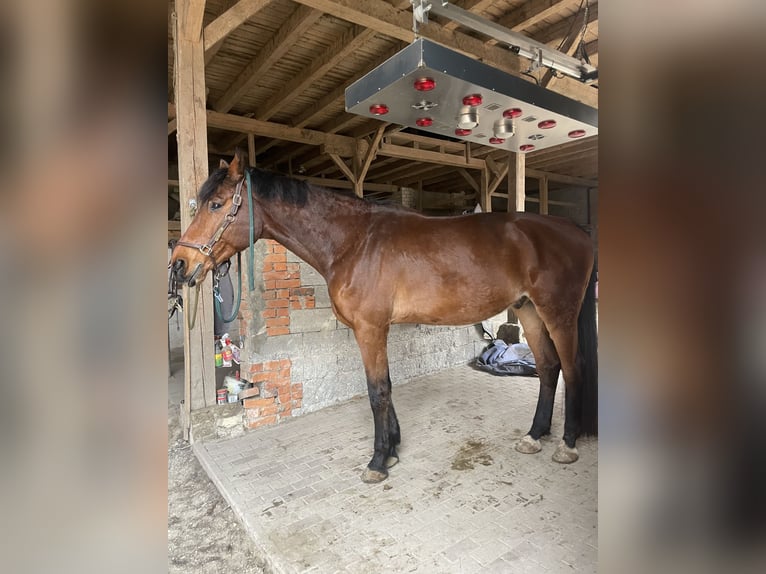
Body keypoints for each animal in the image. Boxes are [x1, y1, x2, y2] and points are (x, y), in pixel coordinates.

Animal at [170, 149, 598, 483]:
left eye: (216, 204)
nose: (179, 264)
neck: (354, 241)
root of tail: (577, 230)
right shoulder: (376, 329)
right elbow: (386, 387)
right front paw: (392, 449)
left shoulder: (370, 328)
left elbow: (377, 392)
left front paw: (377, 461)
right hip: (529, 311)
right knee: (548, 367)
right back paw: (535, 435)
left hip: (558, 312)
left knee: (572, 367)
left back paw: (567, 444)